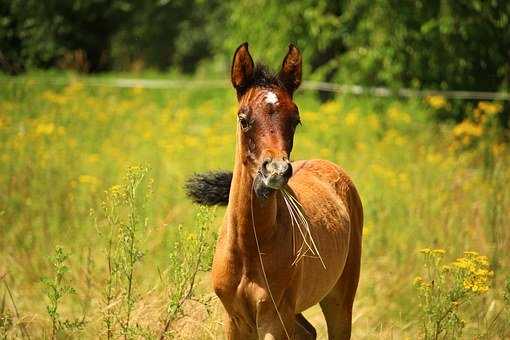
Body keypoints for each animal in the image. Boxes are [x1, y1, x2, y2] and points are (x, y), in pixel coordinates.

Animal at [187, 43, 362, 340]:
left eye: (296, 120)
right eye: (243, 119)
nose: (276, 171)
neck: (249, 247)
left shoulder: (274, 319)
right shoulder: (235, 320)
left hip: (338, 300)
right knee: (308, 332)